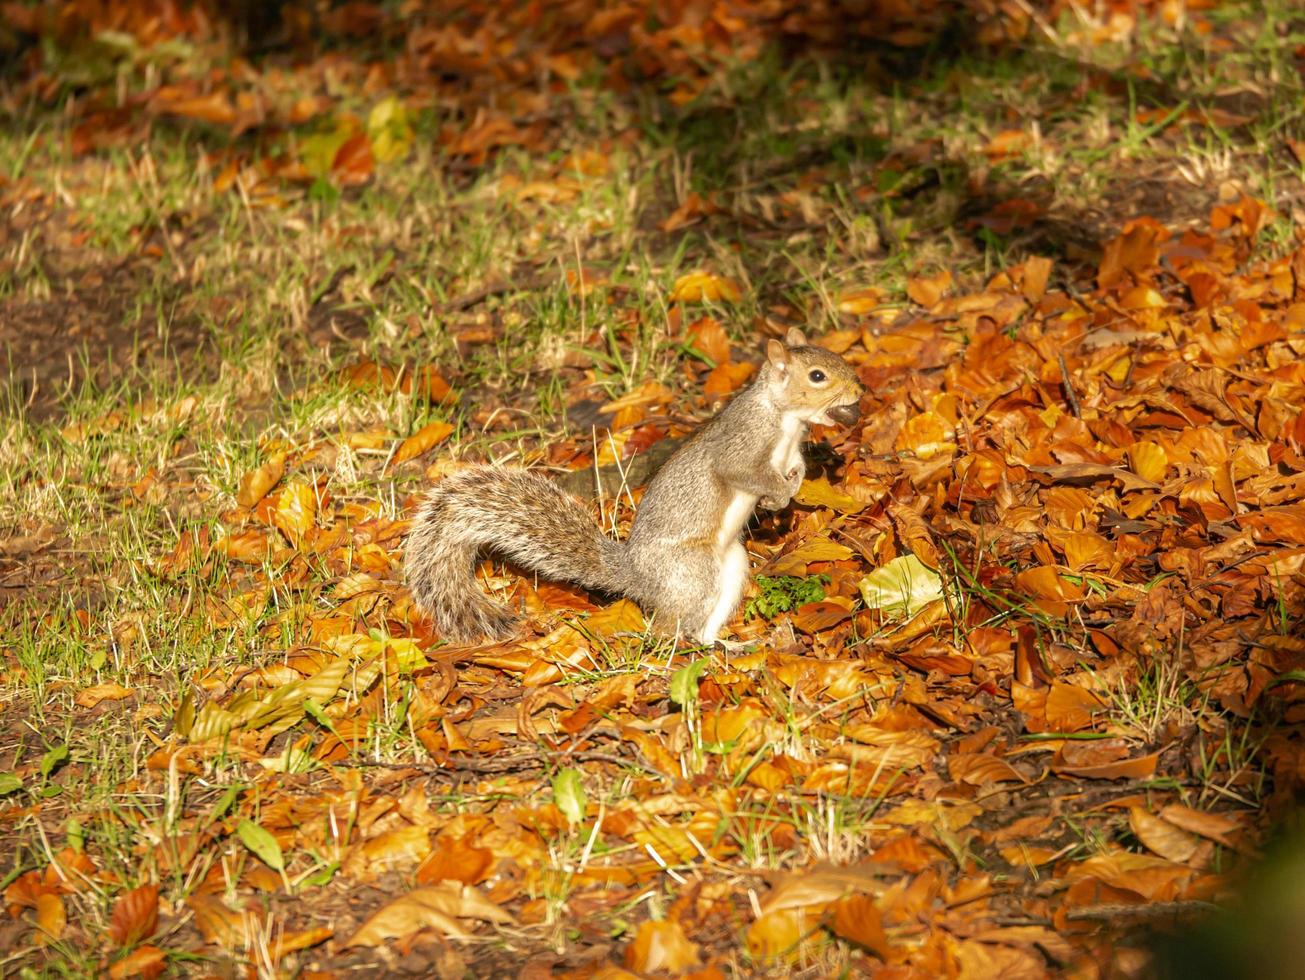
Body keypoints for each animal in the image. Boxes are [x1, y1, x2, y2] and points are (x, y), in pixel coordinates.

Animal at [401, 330, 861, 647]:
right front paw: (776, 495)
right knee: (670, 628)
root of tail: (637, 577)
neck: (786, 419)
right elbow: (742, 471)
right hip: (692, 571)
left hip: (730, 567)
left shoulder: (791, 450)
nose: (861, 390)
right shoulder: (742, 443)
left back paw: (724, 646)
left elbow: (794, 469)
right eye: (817, 376)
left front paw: (786, 492)